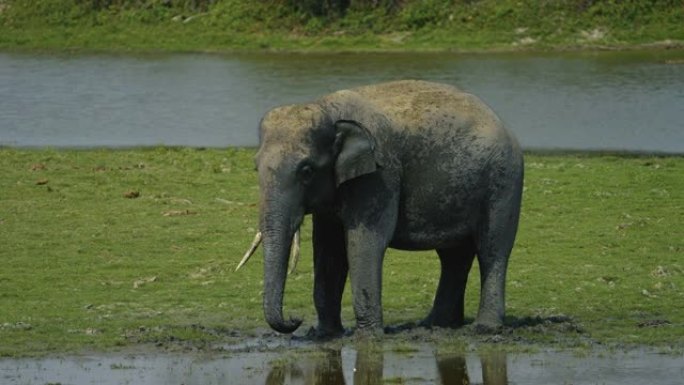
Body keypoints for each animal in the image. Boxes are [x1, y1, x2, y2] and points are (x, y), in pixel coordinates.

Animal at [256, 79, 524, 334]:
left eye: (306, 171)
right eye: (255, 166)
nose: (296, 319)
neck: (328, 108)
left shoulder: (380, 174)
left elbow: (364, 241)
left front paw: (369, 335)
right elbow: (328, 249)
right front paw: (324, 334)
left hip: (504, 182)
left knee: (492, 248)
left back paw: (484, 328)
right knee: (454, 255)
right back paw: (437, 324)